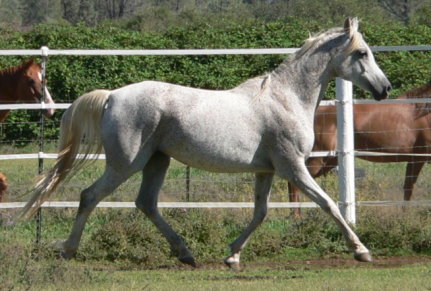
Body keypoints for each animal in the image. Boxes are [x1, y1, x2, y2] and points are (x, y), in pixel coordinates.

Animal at [20, 17, 392, 270]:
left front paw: (233, 255)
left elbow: (260, 213)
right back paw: (68, 250)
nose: (385, 89)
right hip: (126, 163)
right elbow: (328, 204)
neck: (285, 99)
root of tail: (112, 96)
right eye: (362, 53)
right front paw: (361, 251)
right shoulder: (293, 168)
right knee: (90, 196)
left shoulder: (266, 171)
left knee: (146, 203)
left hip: (157, 161)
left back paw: (186, 254)